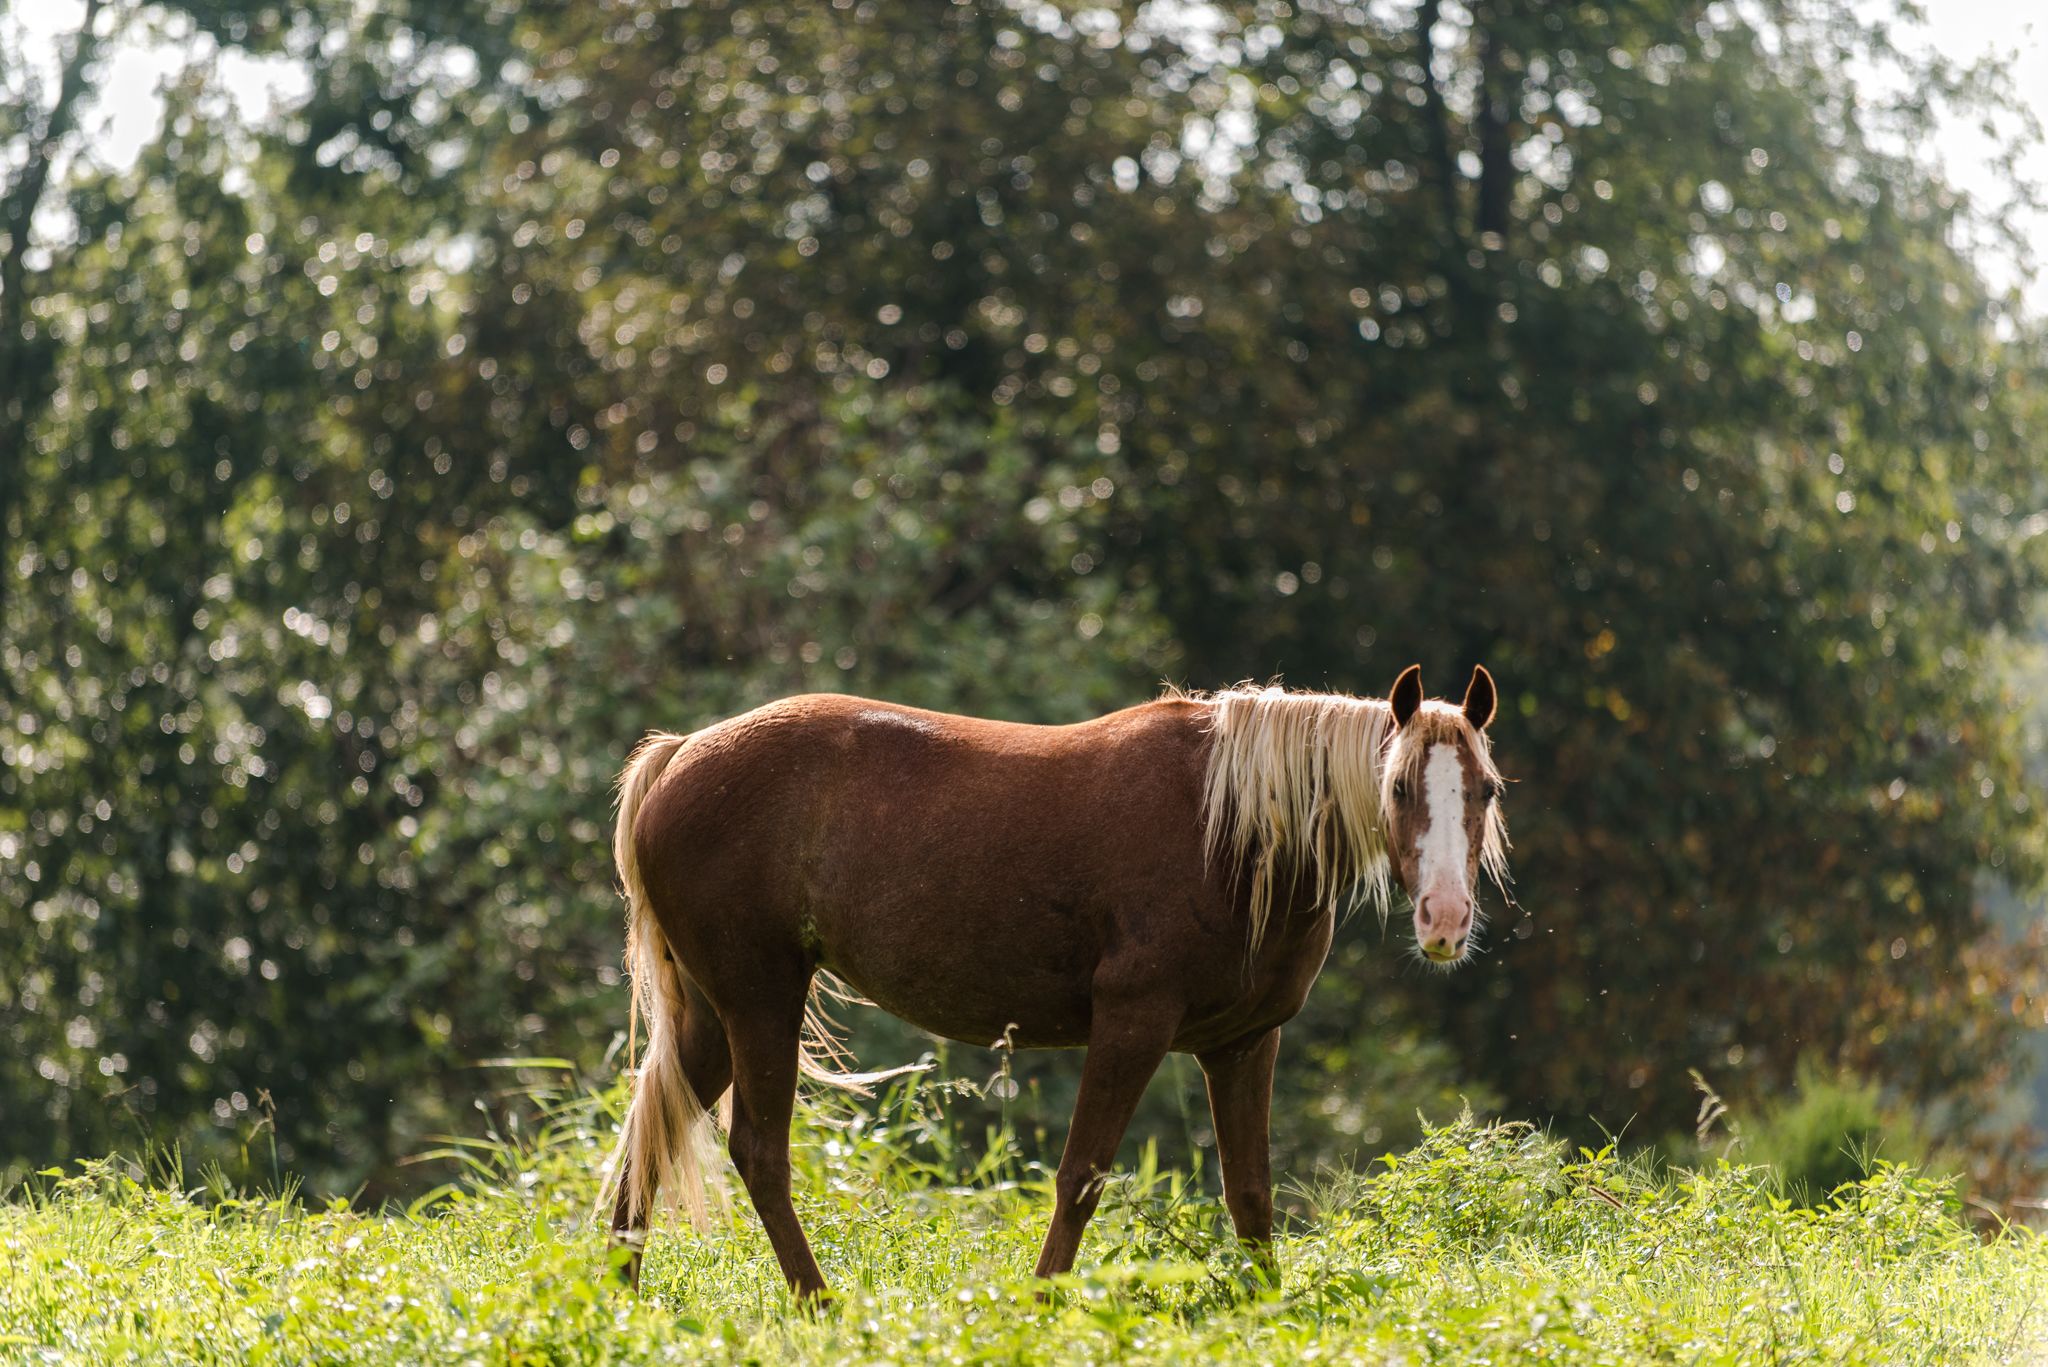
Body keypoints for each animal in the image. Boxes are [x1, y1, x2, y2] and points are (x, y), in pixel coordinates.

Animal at [600, 663, 1511, 1297]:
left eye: (1488, 789)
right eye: (1399, 784)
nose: (1443, 918)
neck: (1233, 830)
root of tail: (679, 755)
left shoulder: (1243, 1043)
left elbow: (1250, 1192)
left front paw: (1271, 1308)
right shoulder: (1132, 1025)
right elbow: (1081, 1177)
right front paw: (1042, 1303)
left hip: (717, 1017)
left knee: (650, 1127)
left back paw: (619, 1295)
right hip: (761, 1003)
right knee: (758, 1153)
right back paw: (819, 1305)